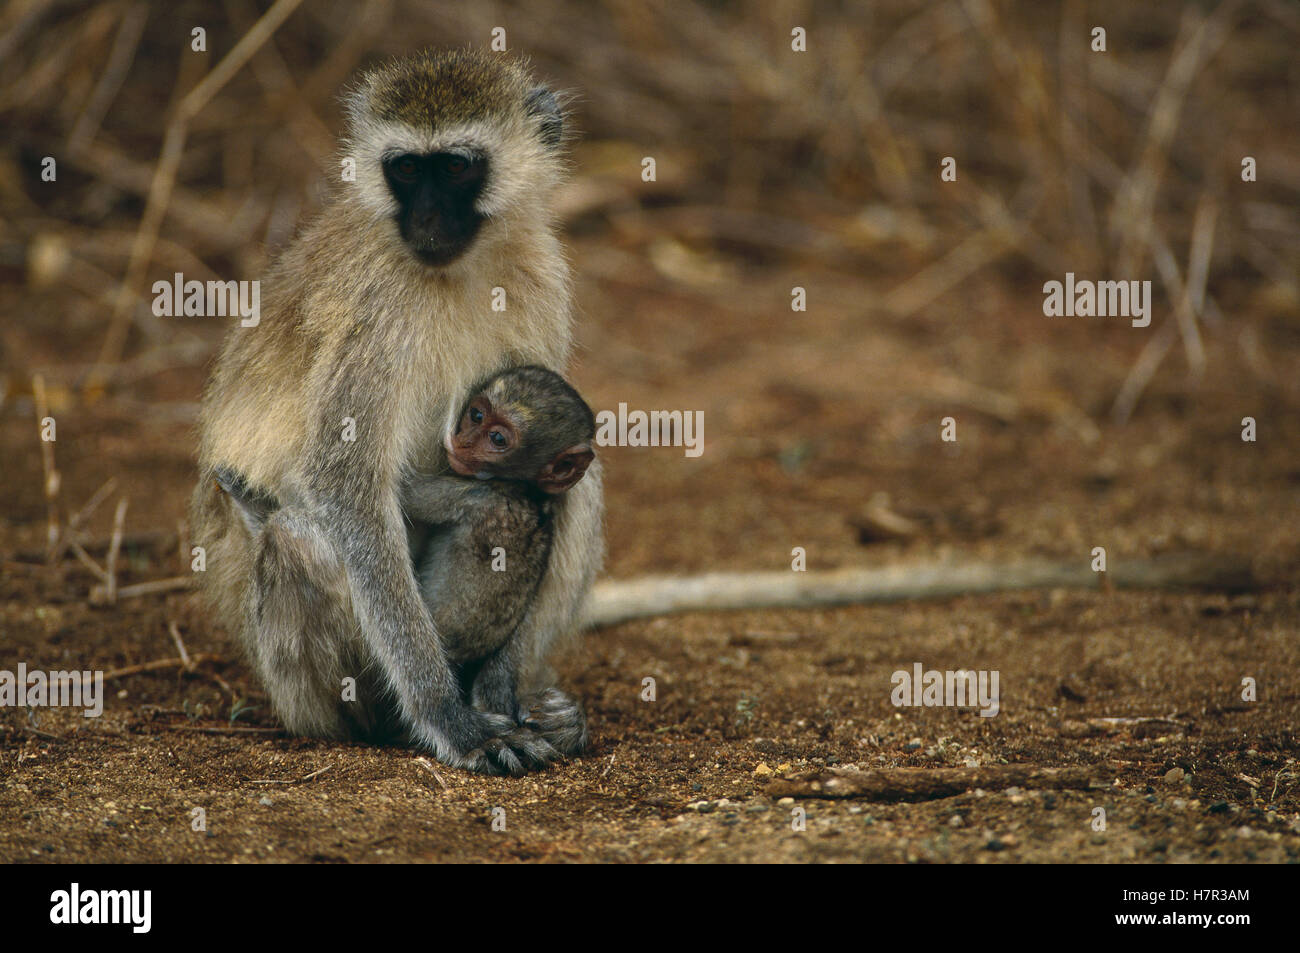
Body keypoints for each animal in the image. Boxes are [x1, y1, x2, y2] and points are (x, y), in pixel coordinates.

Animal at [191, 49, 603, 776]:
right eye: (407, 169)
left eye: (458, 166)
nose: (429, 222)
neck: (456, 269)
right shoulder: (376, 312)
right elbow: (347, 488)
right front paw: (451, 716)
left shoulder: (541, 275)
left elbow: (551, 463)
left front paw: (498, 691)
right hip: (288, 675)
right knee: (300, 539)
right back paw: (386, 718)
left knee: (575, 483)